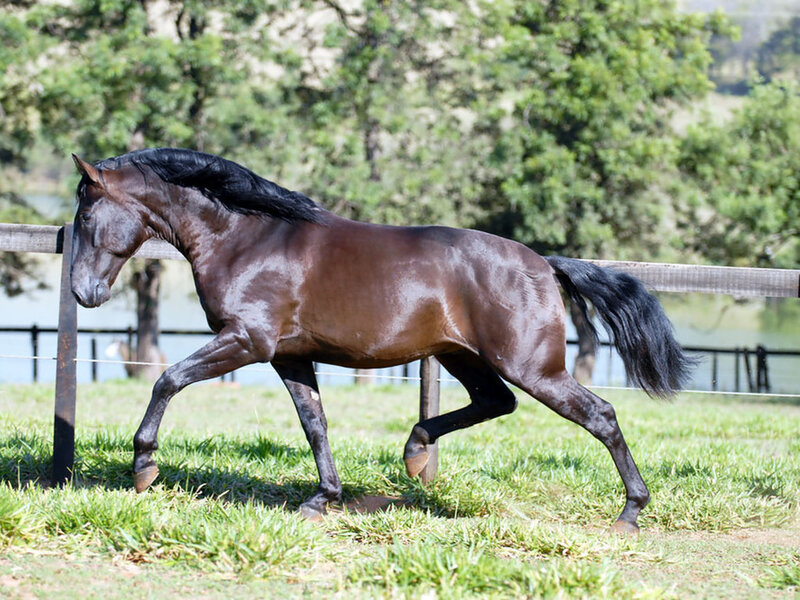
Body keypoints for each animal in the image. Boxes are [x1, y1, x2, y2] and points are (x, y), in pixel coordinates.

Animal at [70, 148, 694, 533]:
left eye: (84, 216)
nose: (83, 292)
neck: (247, 238)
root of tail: (544, 263)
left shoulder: (247, 341)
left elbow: (168, 378)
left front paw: (143, 466)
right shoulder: (289, 357)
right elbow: (315, 424)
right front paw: (321, 500)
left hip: (533, 366)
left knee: (600, 414)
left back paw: (630, 513)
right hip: (462, 357)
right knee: (496, 403)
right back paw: (415, 452)